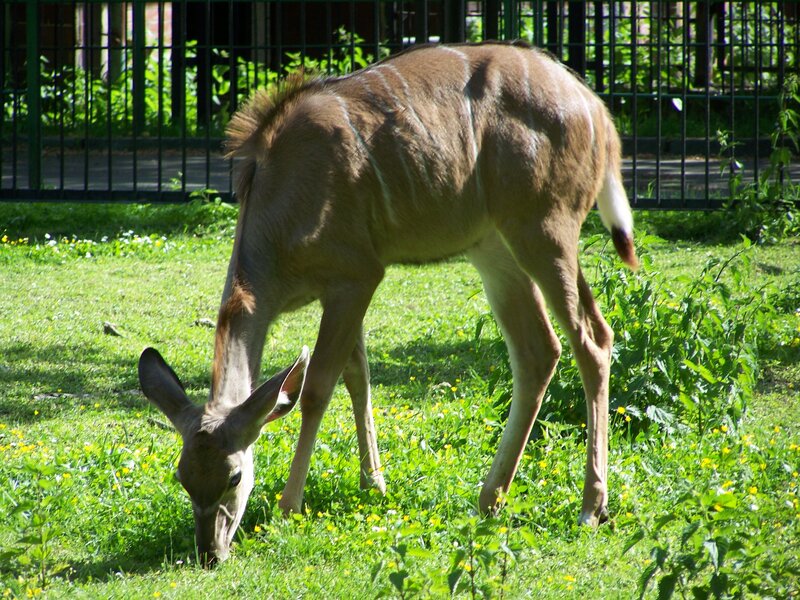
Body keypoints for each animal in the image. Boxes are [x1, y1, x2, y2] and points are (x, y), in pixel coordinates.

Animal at [138, 41, 638, 566]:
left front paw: (289, 506)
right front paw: (373, 483)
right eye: (182, 476)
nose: (209, 552)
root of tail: (597, 112)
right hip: (493, 246)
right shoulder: (341, 291)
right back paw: (489, 499)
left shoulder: (357, 277)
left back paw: (591, 507)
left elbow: (317, 388)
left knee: (592, 340)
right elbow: (358, 377)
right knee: (539, 349)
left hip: (545, 229)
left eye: (234, 475)